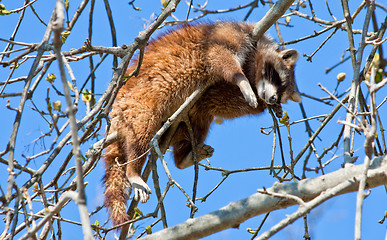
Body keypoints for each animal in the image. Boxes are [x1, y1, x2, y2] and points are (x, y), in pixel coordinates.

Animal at [102, 21, 300, 226]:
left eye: (282, 94)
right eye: (276, 77)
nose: (273, 99)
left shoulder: (212, 93)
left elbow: (221, 103)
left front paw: (267, 105)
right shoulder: (233, 34)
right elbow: (219, 55)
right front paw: (242, 80)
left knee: (200, 120)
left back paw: (183, 157)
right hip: (137, 102)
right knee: (142, 129)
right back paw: (133, 169)